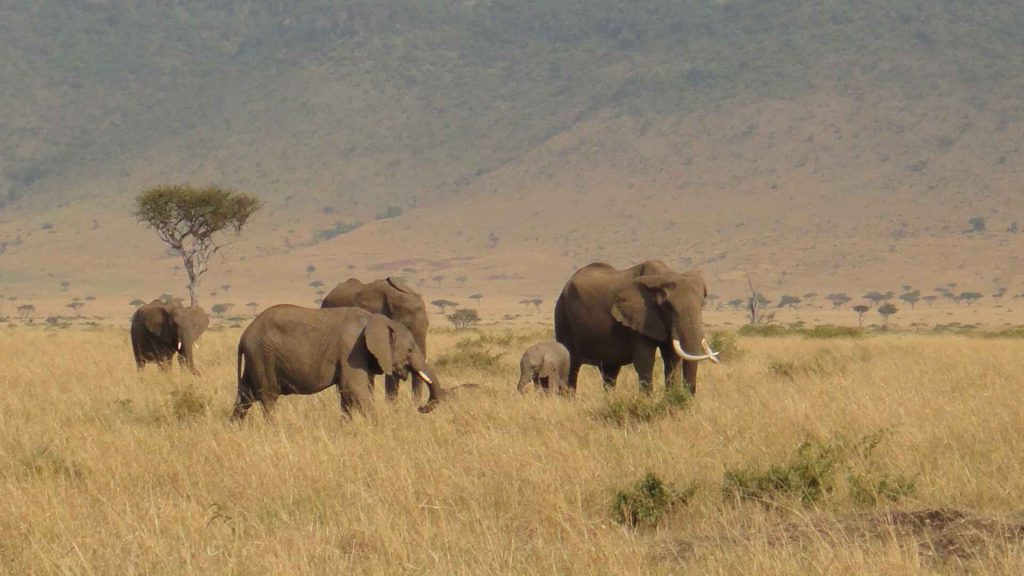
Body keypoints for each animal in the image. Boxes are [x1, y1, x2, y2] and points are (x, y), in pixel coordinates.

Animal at [231, 305, 440, 421]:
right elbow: (355, 389)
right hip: (263, 356)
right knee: (268, 398)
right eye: (410, 350)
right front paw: (379, 428)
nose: (420, 408)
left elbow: (347, 395)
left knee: (245, 397)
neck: (377, 320)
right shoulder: (352, 350)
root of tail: (244, 335)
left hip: (256, 358)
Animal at [554, 260, 719, 395]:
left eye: (702, 305)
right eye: (668, 307)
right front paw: (647, 401)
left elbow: (671, 359)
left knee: (609, 372)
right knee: (571, 366)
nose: (688, 396)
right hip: (562, 317)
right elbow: (645, 360)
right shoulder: (638, 319)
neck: (662, 277)